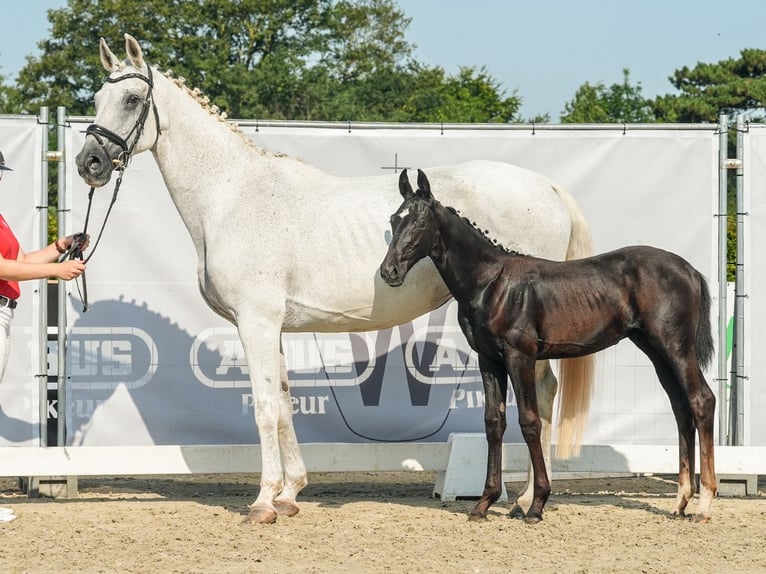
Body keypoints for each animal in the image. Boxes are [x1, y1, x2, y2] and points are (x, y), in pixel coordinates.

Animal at [75, 32, 596, 528]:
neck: (231, 195)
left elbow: (264, 408)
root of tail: (548, 187)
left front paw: (263, 502)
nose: (89, 163)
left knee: (540, 395)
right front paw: (290, 495)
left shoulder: (255, 322)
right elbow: (284, 404)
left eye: (131, 100)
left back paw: (528, 499)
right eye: (98, 97)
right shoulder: (272, 327)